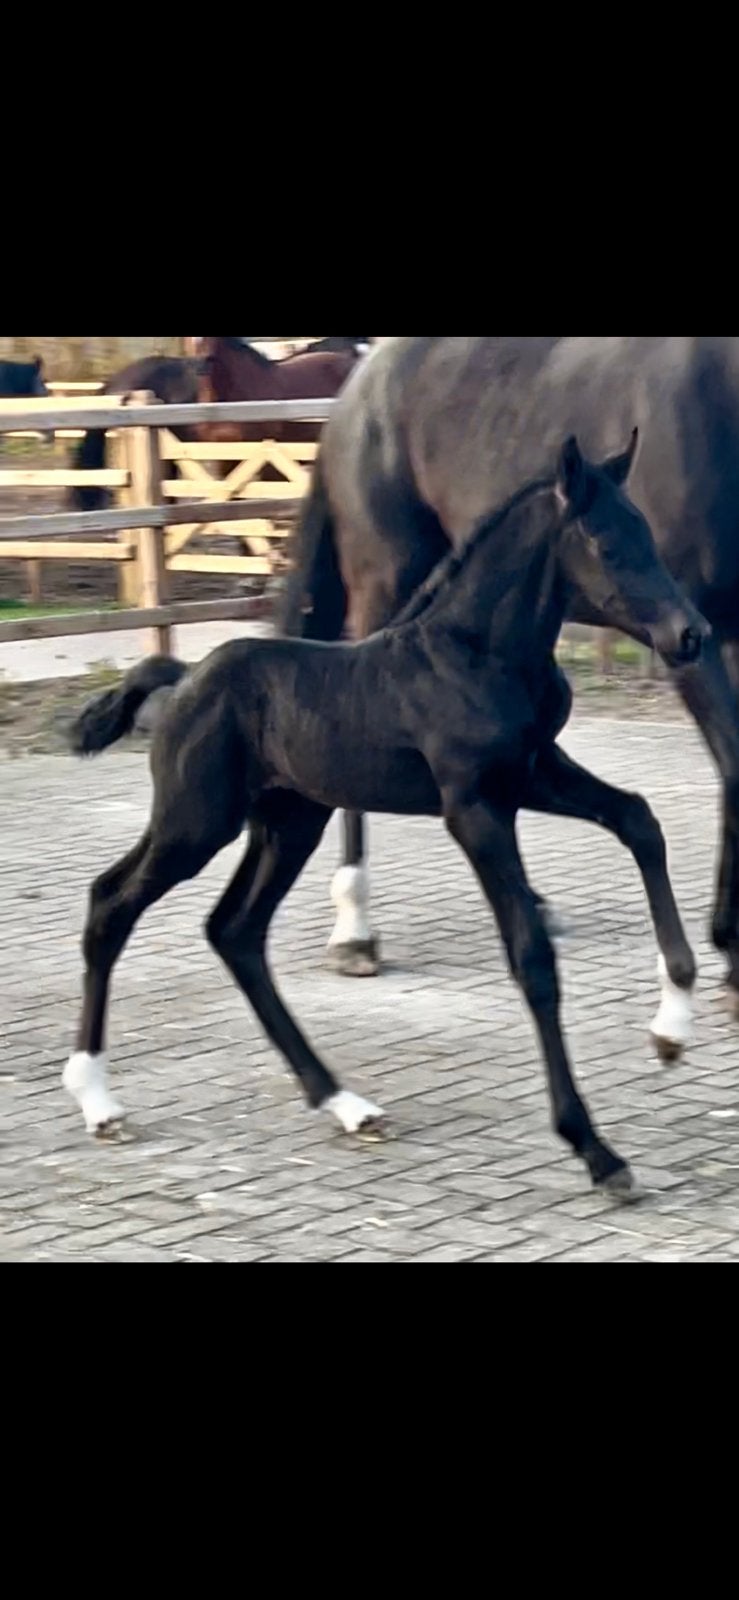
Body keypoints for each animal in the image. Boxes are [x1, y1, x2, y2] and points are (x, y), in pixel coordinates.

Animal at [63, 436, 708, 1199]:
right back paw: (97, 1099)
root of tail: (183, 680)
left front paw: (671, 1027)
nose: (691, 634)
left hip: (290, 822)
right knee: (112, 902)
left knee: (235, 930)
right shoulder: (474, 808)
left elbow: (639, 820)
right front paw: (594, 1149)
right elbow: (532, 958)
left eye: (646, 534)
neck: (478, 653)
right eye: (605, 543)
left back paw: (346, 1104)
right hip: (196, 822)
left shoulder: (533, 772)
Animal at [279, 336, 739, 1007]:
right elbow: (735, 763)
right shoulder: (699, 643)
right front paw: (730, 948)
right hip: (388, 584)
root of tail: (357, 387)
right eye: (611, 546)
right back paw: (355, 931)